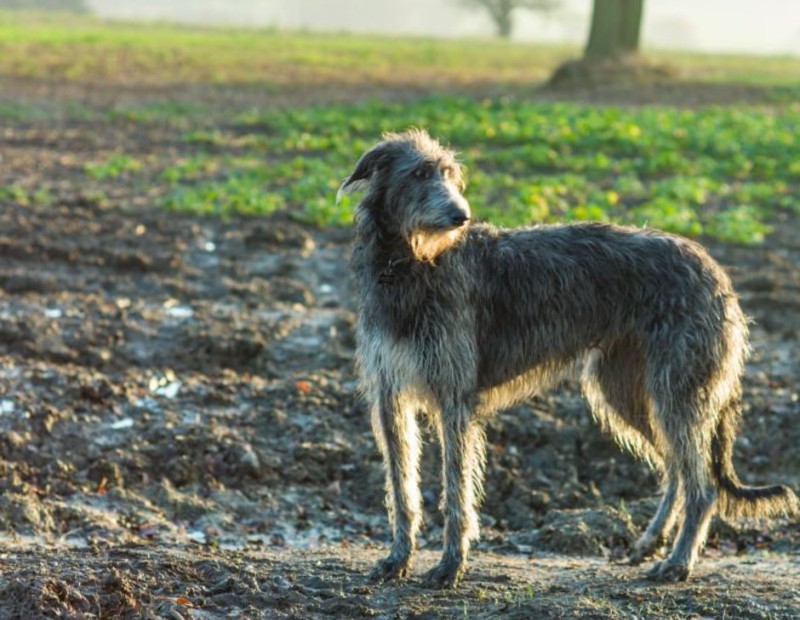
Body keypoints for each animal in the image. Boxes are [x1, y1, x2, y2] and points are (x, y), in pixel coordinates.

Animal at [340, 128, 800, 588]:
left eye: (451, 175)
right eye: (419, 173)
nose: (461, 216)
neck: (410, 264)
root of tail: (716, 269)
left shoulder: (454, 398)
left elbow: (456, 491)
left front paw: (451, 564)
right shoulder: (389, 395)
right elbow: (401, 487)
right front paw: (397, 559)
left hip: (678, 388)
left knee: (702, 486)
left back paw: (678, 562)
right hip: (625, 390)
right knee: (677, 470)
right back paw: (650, 543)